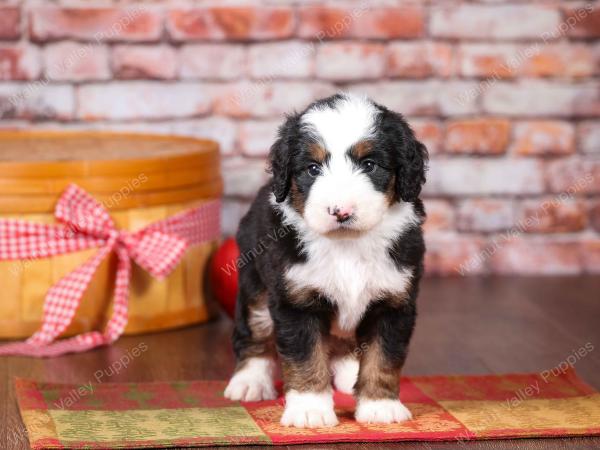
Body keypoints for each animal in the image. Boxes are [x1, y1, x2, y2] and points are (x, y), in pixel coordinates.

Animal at [224, 94, 426, 428]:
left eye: (369, 164)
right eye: (313, 168)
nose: (340, 211)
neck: (347, 245)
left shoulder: (394, 301)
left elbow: (383, 357)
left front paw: (380, 406)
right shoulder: (296, 301)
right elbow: (306, 358)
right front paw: (309, 411)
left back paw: (348, 375)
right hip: (256, 287)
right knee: (255, 335)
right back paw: (249, 382)